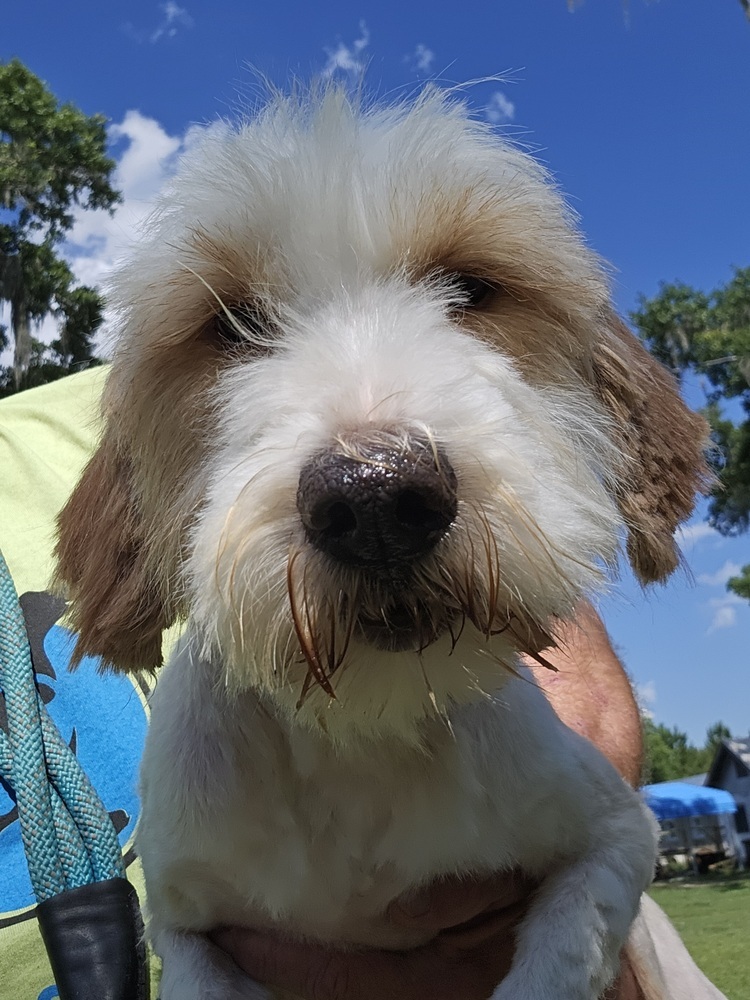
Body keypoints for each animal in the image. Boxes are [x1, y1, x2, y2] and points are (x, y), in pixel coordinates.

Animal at [54, 88, 712, 1000]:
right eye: (230, 323)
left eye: (470, 286)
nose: (376, 499)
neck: (361, 744)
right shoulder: (180, 923)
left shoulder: (616, 832)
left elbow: (558, 956)